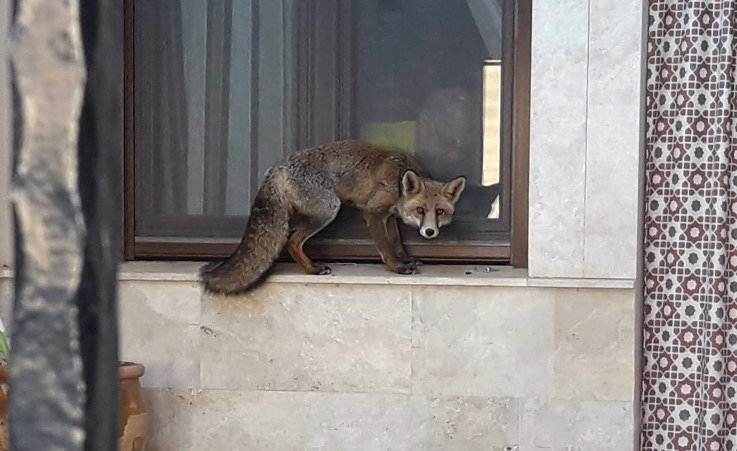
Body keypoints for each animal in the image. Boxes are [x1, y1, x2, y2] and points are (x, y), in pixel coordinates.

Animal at [200, 140, 466, 294]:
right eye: (420, 210)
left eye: (440, 212)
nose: (430, 232)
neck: (399, 182)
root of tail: (277, 168)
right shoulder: (373, 213)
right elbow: (385, 249)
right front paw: (397, 268)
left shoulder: (389, 216)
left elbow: (396, 243)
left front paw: (406, 259)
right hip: (329, 209)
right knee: (292, 241)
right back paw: (313, 269)